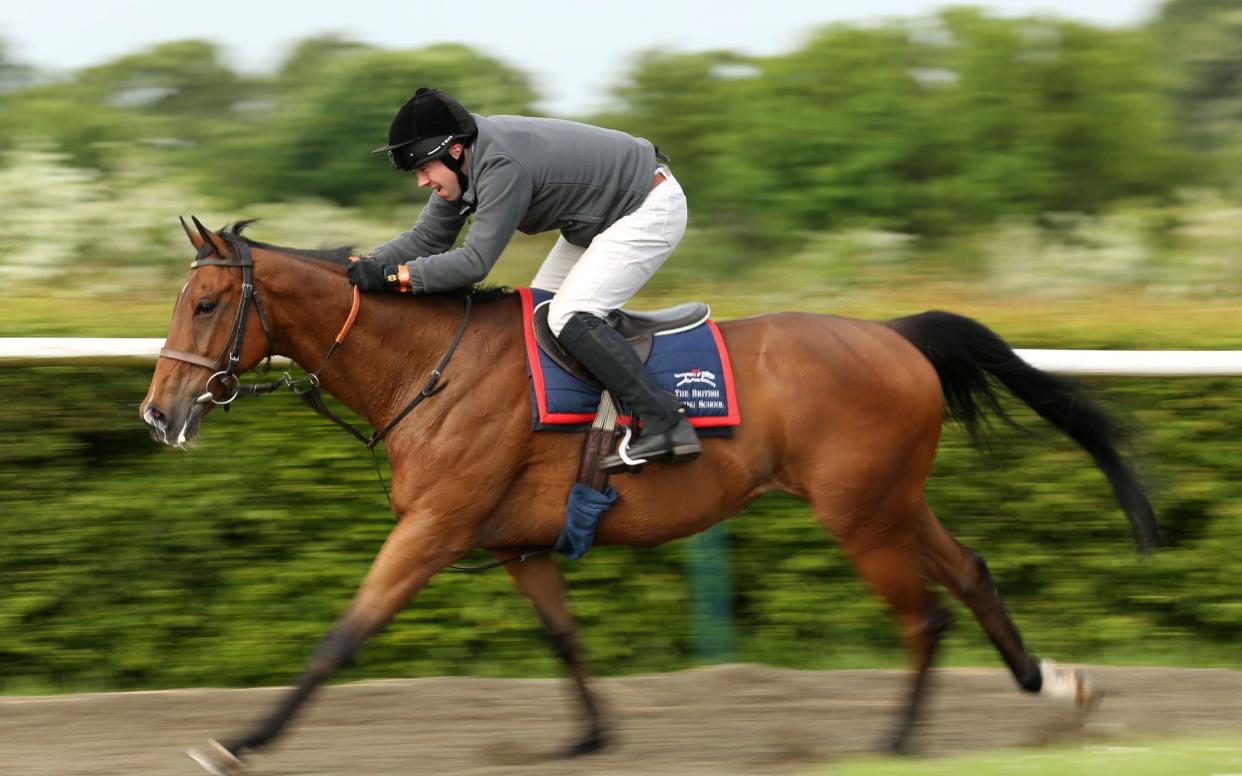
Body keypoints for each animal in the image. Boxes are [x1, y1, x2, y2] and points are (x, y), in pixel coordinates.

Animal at [140, 219, 1157, 774]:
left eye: (205, 306)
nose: (157, 413)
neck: (428, 365)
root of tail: (895, 334)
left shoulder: (434, 528)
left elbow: (341, 637)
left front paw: (238, 742)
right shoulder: (515, 543)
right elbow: (565, 637)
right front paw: (589, 739)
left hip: (861, 514)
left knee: (924, 614)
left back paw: (901, 741)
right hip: (893, 501)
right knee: (971, 571)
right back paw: (1053, 682)